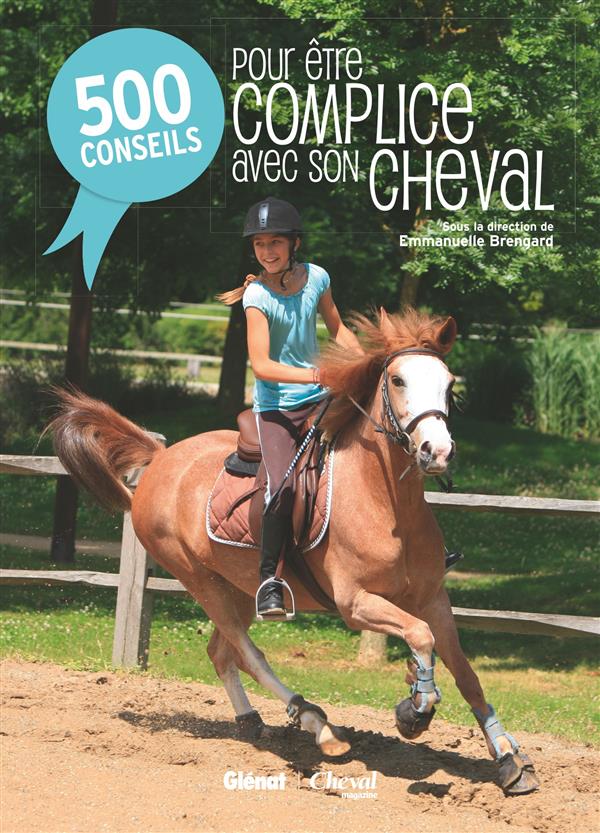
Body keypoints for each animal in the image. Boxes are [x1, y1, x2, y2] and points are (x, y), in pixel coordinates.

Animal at [48, 307, 539, 796]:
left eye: (449, 382)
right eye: (398, 380)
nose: (437, 451)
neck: (386, 503)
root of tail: (160, 458)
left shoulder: (433, 598)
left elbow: (467, 675)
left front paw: (509, 759)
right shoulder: (356, 604)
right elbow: (420, 637)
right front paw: (415, 710)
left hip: (239, 587)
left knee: (221, 653)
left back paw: (252, 722)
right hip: (199, 579)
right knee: (248, 653)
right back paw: (317, 725)